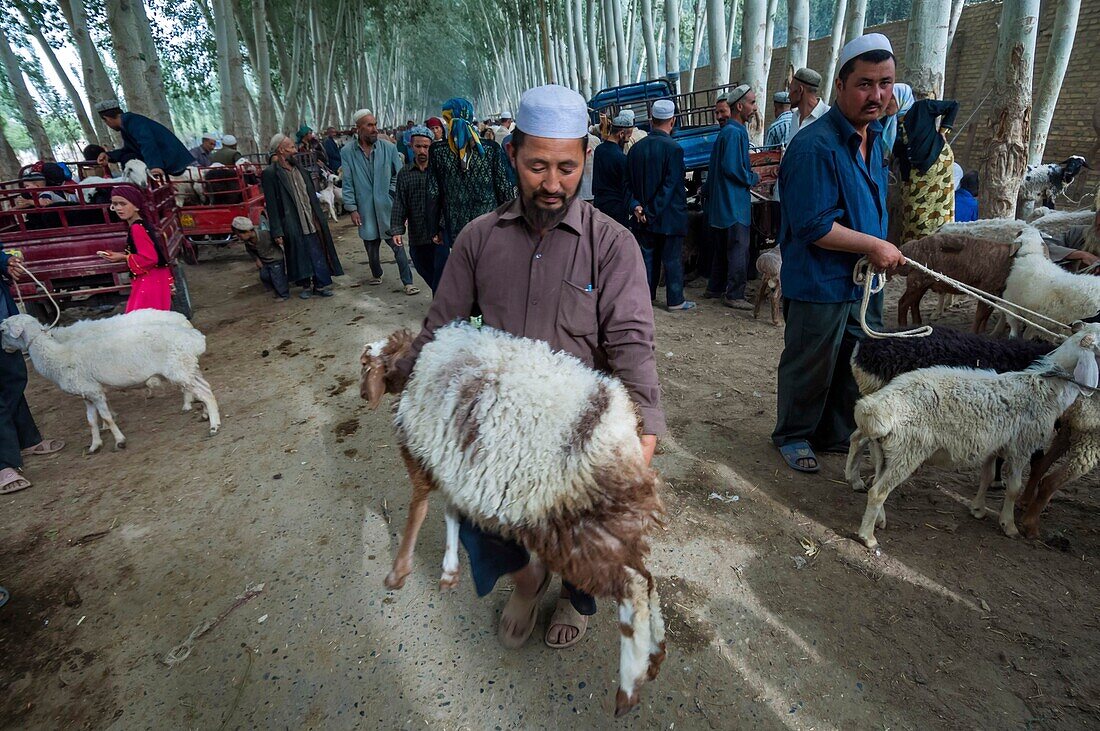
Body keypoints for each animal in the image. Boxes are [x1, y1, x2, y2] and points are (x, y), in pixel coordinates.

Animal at [0, 312, 218, 452]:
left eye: (2, 330)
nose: (3, 349)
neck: (58, 355)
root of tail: (194, 336)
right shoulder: (87, 393)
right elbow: (91, 420)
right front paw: (95, 445)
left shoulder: (95, 392)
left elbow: (106, 417)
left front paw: (119, 440)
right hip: (187, 368)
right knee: (205, 388)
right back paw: (206, 414)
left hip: (179, 369)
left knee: (205, 393)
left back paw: (213, 425)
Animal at [360, 323, 664, 716]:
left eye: (365, 364)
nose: (363, 394)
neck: (411, 364)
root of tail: (617, 421)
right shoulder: (455, 460)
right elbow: (451, 511)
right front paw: (448, 572)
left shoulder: (422, 453)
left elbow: (419, 509)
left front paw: (398, 573)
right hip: (605, 522)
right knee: (646, 581)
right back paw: (652, 659)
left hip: (578, 527)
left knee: (633, 587)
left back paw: (628, 688)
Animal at [849, 320, 1100, 547]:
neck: (1046, 387)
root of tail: (876, 407)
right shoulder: (1021, 447)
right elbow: (1014, 488)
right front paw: (1009, 525)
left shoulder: (993, 445)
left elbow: (987, 476)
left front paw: (978, 509)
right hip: (908, 452)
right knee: (878, 491)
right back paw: (868, 537)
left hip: (886, 451)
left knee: (874, 478)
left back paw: (876, 516)